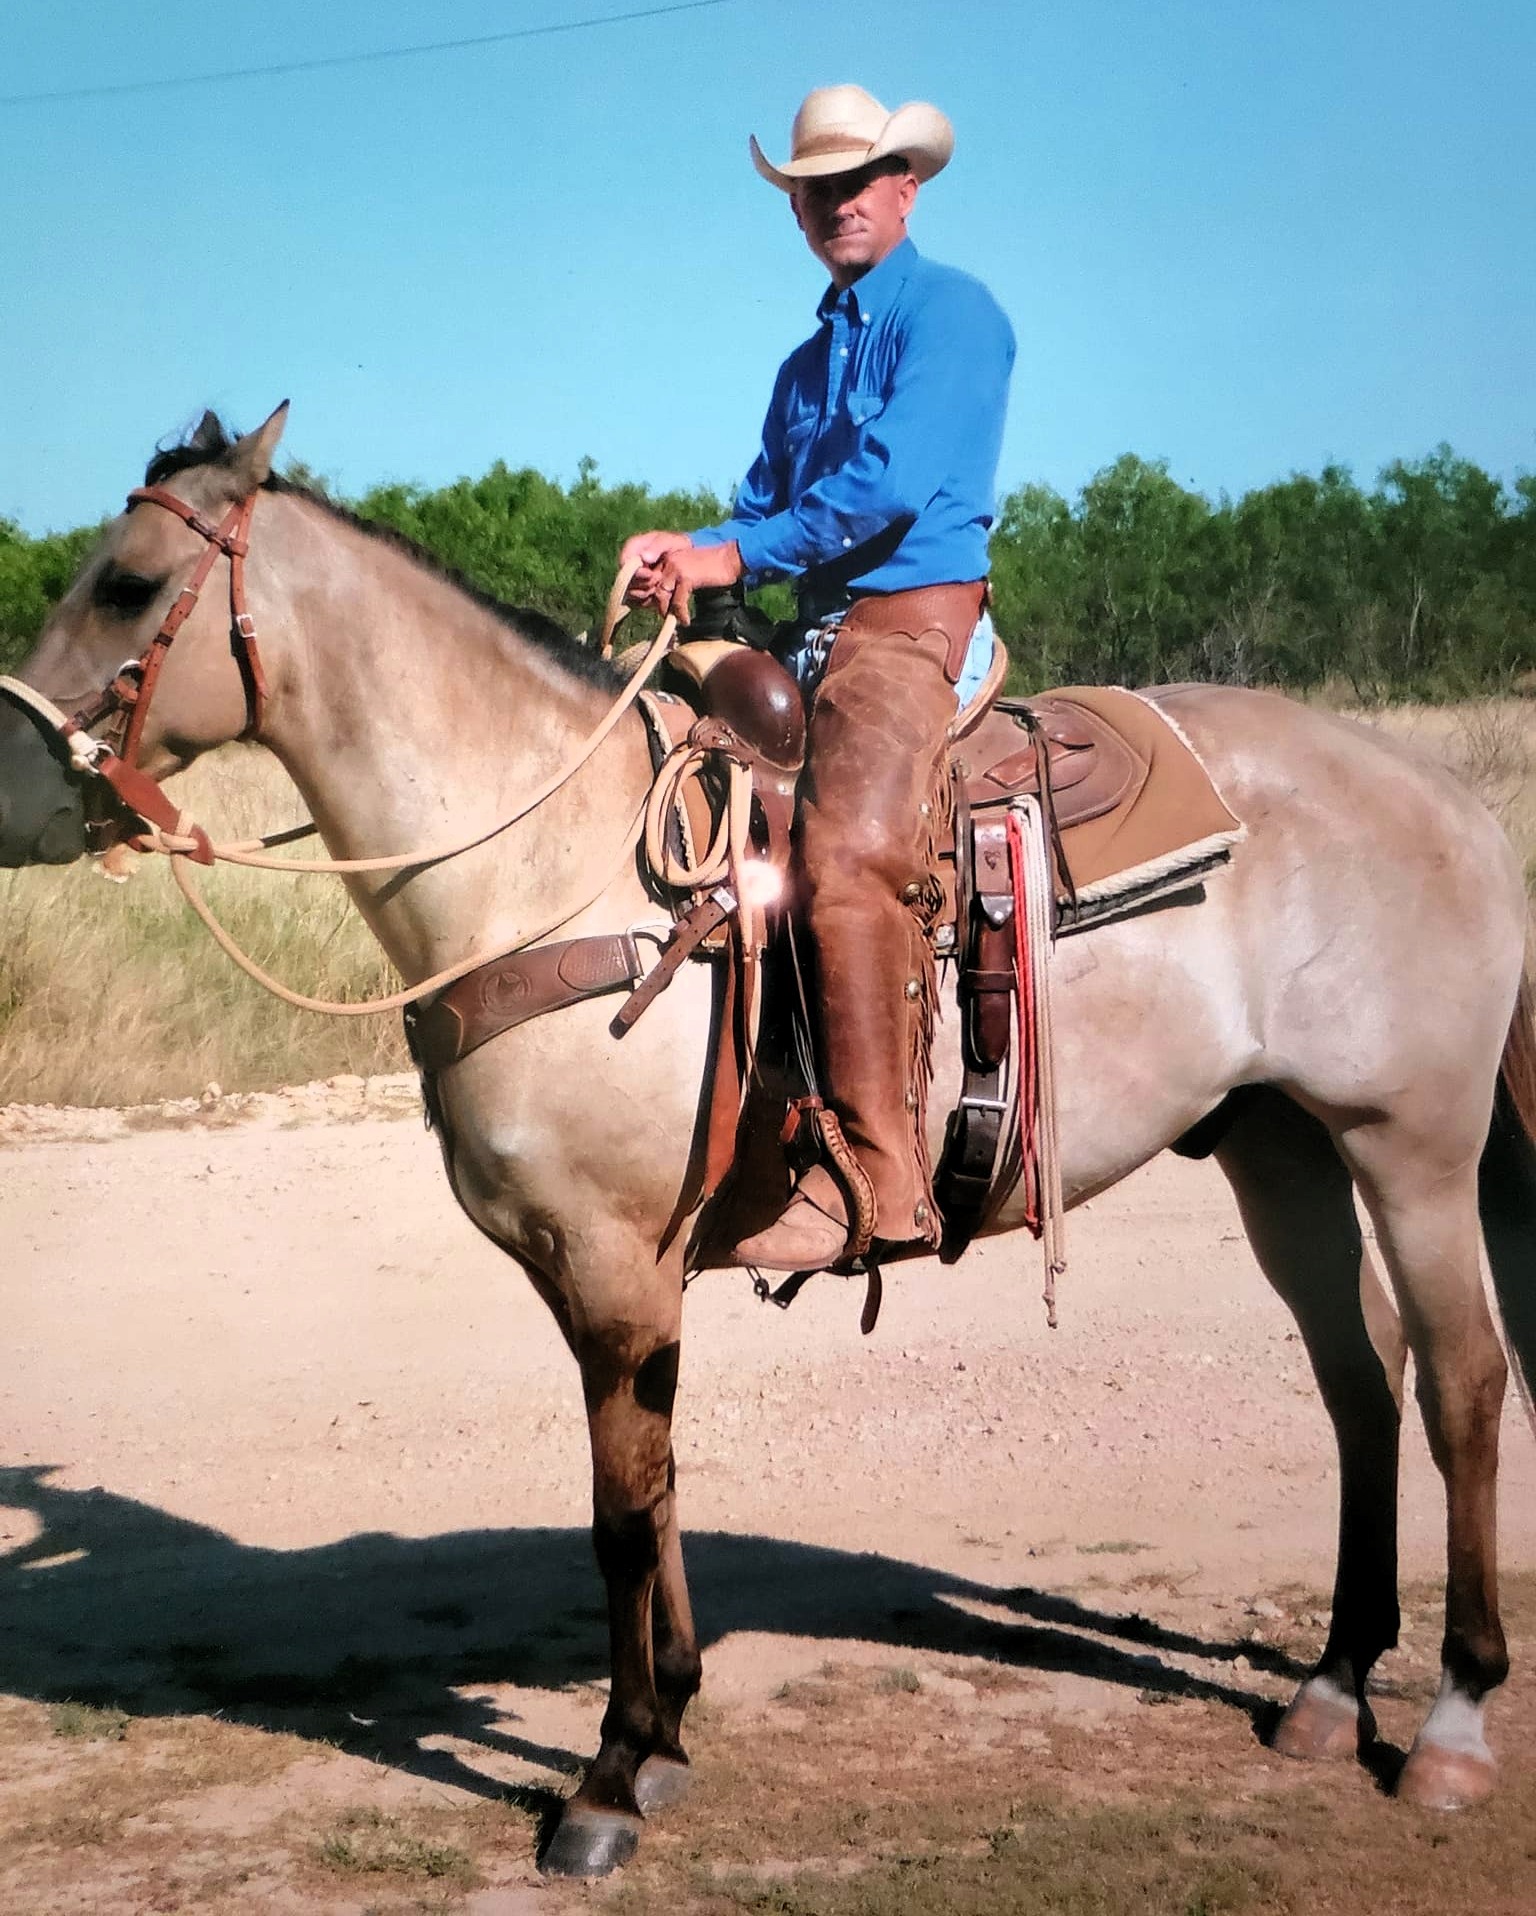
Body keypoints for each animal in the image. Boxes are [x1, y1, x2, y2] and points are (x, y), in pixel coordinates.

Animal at [2, 405, 1534, 1878]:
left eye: (127, 581)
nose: (16, 794)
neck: (549, 871)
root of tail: (1445, 793)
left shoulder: (616, 1261)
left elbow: (621, 1515)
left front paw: (610, 1777)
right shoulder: (597, 1275)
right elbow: (657, 1484)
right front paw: (669, 1731)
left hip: (1411, 1144)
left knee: (1461, 1381)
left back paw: (1454, 1719)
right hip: (1281, 1144)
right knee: (1361, 1377)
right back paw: (1333, 1687)